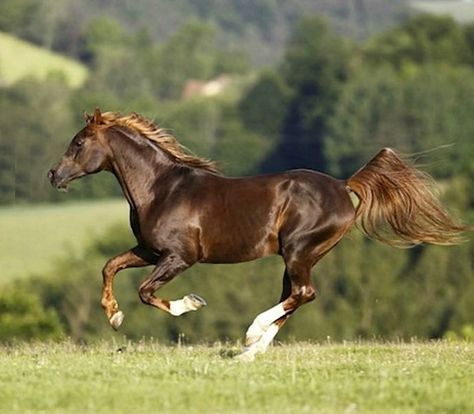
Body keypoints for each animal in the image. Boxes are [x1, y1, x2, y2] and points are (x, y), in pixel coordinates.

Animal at [49, 109, 466, 360]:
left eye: (79, 143)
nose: (53, 175)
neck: (161, 188)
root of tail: (342, 186)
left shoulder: (180, 256)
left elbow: (146, 291)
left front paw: (192, 303)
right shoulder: (149, 251)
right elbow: (109, 266)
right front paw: (114, 316)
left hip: (299, 249)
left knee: (302, 293)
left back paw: (251, 335)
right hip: (301, 255)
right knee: (294, 296)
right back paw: (250, 351)